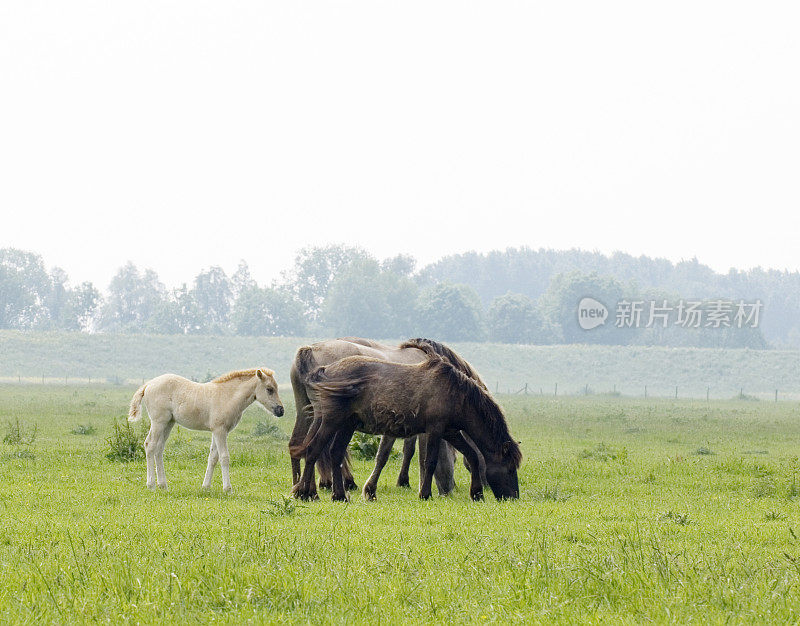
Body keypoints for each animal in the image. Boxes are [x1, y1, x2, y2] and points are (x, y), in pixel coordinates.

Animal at [128, 366, 284, 492]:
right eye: (269, 389)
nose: (281, 411)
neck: (227, 396)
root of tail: (148, 384)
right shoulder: (220, 431)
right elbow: (224, 457)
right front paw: (228, 489)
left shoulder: (217, 431)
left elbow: (213, 457)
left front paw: (206, 487)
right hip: (158, 422)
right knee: (150, 445)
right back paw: (151, 485)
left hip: (168, 423)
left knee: (159, 449)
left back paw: (163, 485)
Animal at [290, 352, 520, 502]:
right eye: (509, 468)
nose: (514, 497)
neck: (455, 394)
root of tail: (325, 371)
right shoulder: (435, 430)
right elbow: (430, 461)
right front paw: (425, 494)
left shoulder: (451, 432)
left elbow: (472, 456)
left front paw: (477, 493)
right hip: (331, 422)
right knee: (313, 451)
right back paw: (306, 494)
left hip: (345, 425)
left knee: (335, 454)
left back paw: (339, 496)